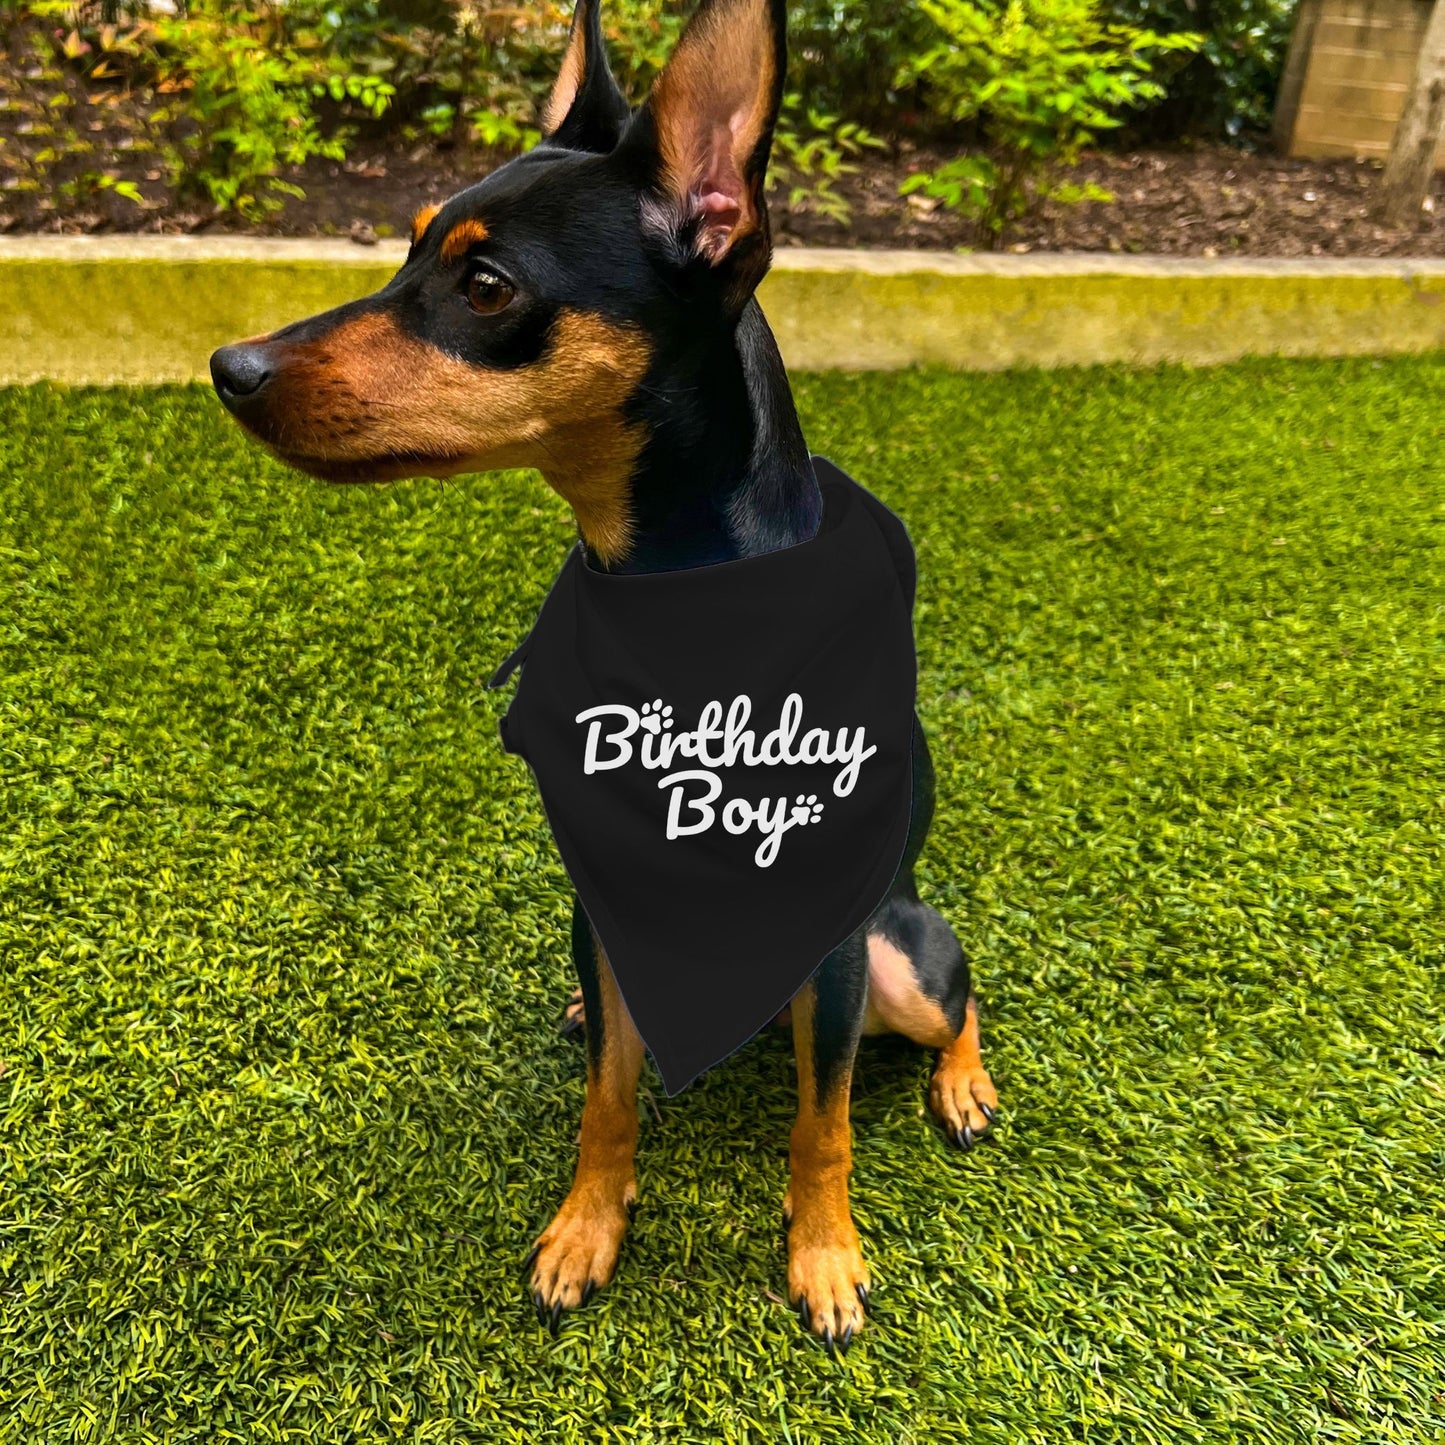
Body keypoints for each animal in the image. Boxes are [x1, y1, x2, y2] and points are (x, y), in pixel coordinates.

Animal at [210, 0, 994, 1346]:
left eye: (484, 286)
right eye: (406, 251)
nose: (230, 367)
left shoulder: (833, 954)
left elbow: (823, 1122)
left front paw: (824, 1255)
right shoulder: (605, 896)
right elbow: (608, 1099)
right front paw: (586, 1227)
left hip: (900, 956)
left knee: (959, 998)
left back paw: (963, 1084)